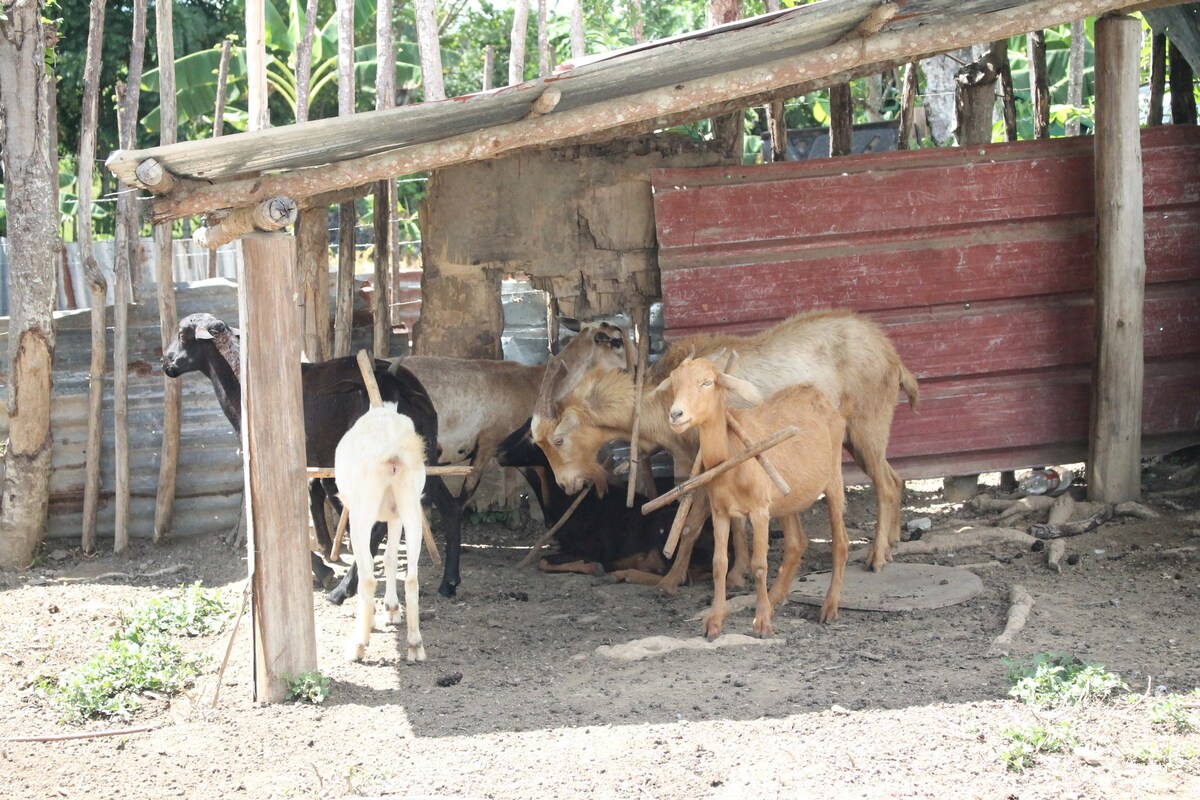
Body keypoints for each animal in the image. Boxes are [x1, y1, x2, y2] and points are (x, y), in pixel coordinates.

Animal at [166, 311, 465, 599]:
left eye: (181, 334)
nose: (165, 362)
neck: (239, 381)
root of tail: (407, 390)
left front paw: (323, 569)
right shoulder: (316, 459)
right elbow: (317, 494)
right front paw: (327, 550)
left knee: (379, 520)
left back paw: (342, 590)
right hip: (423, 457)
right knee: (449, 506)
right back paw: (449, 581)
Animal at [336, 400, 429, 662]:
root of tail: (393, 446)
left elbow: (369, 561)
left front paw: (374, 618)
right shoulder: (395, 516)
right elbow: (389, 558)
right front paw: (392, 609)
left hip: (362, 511)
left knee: (367, 578)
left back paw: (358, 645)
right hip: (410, 505)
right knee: (412, 577)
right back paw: (415, 645)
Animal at [532, 307, 916, 575]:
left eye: (559, 440)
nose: (566, 485)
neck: (662, 396)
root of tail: (891, 354)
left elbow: (695, 521)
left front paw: (688, 576)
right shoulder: (698, 462)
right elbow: (729, 520)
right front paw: (739, 570)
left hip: (867, 424)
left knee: (884, 485)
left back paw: (877, 558)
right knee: (895, 478)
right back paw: (892, 543)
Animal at [662, 357, 849, 638]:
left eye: (707, 382)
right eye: (674, 382)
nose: (676, 415)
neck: (731, 455)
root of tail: (816, 392)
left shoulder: (760, 509)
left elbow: (759, 565)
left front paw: (761, 624)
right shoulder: (720, 510)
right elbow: (719, 563)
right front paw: (714, 621)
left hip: (834, 477)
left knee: (840, 542)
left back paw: (829, 608)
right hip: (787, 497)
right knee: (796, 543)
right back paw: (773, 602)